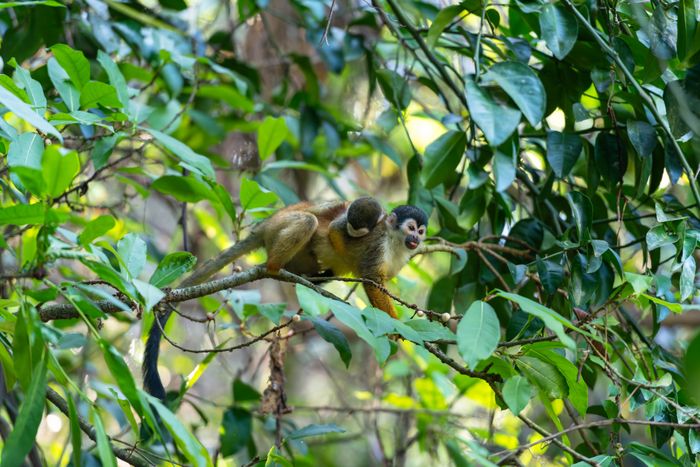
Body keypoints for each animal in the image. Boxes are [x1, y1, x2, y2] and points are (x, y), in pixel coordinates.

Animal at [142, 198, 428, 399]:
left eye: (421, 231)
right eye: (411, 228)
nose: (415, 238)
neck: (394, 242)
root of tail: (266, 224)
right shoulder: (377, 245)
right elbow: (371, 281)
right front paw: (397, 326)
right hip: (282, 225)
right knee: (308, 222)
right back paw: (274, 266)